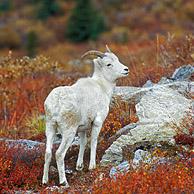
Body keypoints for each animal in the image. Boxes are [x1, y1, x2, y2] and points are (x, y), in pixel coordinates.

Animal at [42, 45, 129, 186]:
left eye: (117, 59)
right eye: (108, 64)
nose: (126, 70)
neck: (102, 87)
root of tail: (55, 104)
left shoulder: (82, 128)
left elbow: (83, 143)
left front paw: (79, 166)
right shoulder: (97, 122)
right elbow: (93, 140)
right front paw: (92, 166)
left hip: (50, 128)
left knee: (48, 153)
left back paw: (45, 181)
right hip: (68, 132)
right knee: (59, 154)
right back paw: (64, 182)